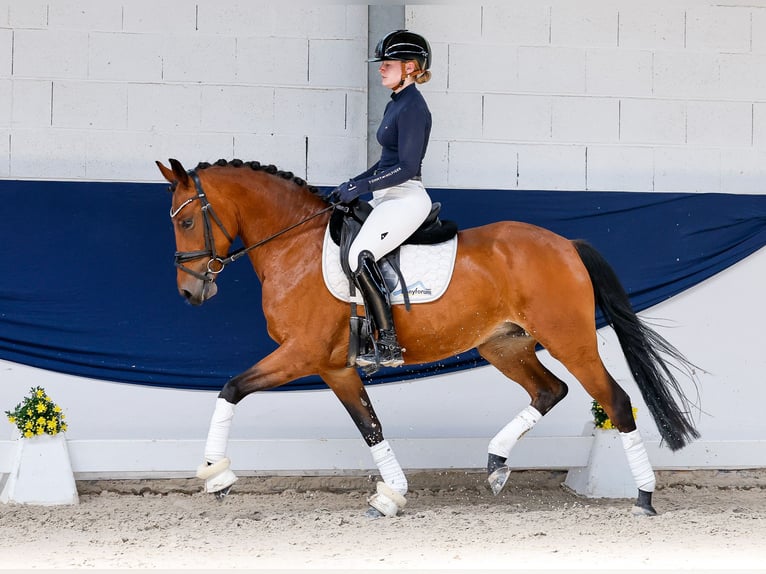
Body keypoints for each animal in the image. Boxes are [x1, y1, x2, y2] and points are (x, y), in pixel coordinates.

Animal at [156, 157, 699, 517]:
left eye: (188, 220)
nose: (189, 291)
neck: (296, 245)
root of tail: (565, 243)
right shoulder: (334, 367)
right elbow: (370, 427)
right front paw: (391, 494)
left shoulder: (301, 355)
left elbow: (231, 388)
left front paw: (216, 473)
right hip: (503, 344)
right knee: (550, 390)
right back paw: (497, 462)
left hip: (571, 341)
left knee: (614, 400)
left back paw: (644, 497)